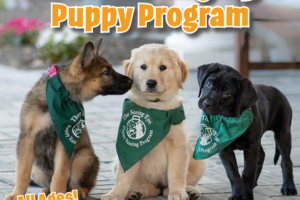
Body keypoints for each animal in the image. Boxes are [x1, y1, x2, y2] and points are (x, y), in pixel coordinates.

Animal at [4, 38, 133, 199]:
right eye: (106, 72)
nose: (131, 81)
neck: (61, 94)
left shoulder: (65, 141)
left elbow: (60, 174)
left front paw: (57, 194)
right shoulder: (27, 138)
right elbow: (22, 171)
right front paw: (17, 194)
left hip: (82, 158)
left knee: (80, 185)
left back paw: (77, 192)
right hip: (37, 168)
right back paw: (48, 190)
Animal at [102, 44, 207, 200]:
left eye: (163, 67)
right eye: (143, 66)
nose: (151, 83)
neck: (155, 107)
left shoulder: (178, 145)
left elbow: (177, 173)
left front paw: (177, 192)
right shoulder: (128, 149)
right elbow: (123, 176)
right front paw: (115, 194)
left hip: (199, 162)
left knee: (166, 188)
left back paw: (189, 190)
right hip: (117, 162)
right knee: (152, 188)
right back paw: (136, 191)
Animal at [197, 63, 298, 200]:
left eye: (227, 93)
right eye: (208, 83)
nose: (206, 103)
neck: (230, 116)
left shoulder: (251, 146)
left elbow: (247, 171)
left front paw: (247, 194)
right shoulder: (225, 149)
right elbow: (233, 174)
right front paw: (238, 194)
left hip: (283, 133)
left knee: (286, 161)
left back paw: (288, 187)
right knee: (262, 154)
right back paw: (254, 183)